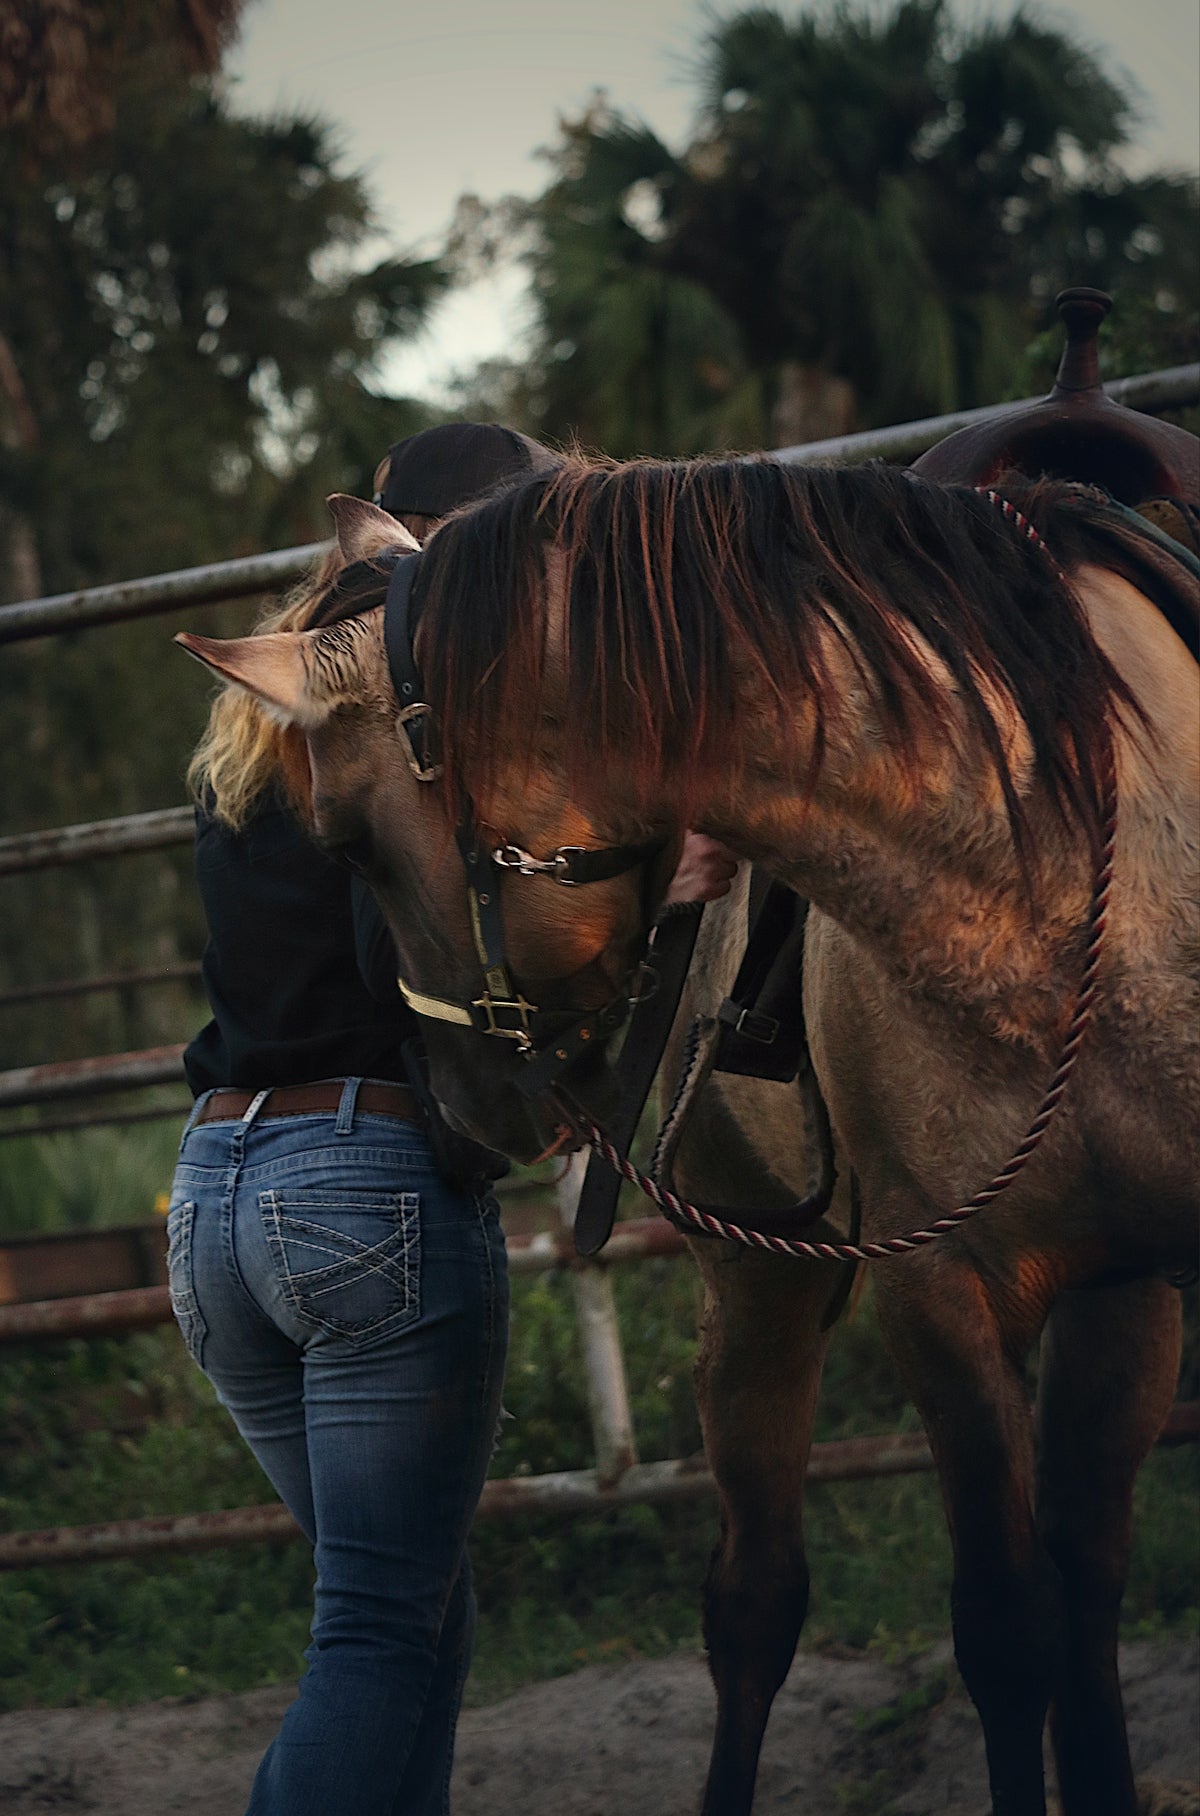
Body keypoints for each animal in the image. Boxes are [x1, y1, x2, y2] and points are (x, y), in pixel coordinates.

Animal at [177, 458, 1199, 1816]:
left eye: (343, 834)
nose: (459, 1099)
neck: (1066, 862)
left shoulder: (1115, 1276)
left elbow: (1057, 1614)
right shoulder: (940, 1292)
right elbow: (1003, 1628)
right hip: (761, 1288)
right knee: (759, 1600)